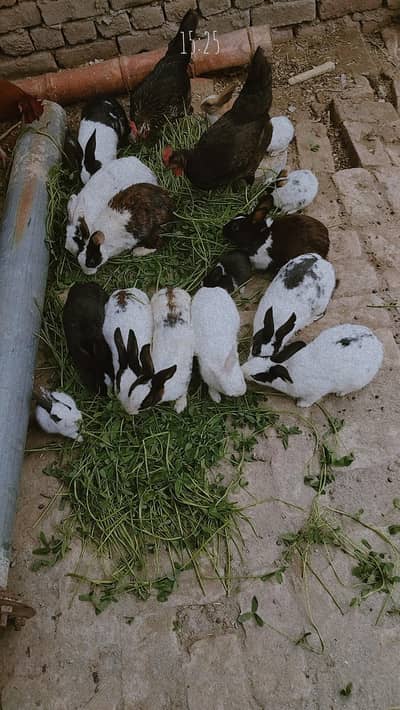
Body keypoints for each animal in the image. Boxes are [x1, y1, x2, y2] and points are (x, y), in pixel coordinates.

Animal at [242, 324, 384, 408]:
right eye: (263, 357)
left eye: (257, 376)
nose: (243, 370)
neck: (288, 368)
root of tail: (376, 342)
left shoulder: (315, 393)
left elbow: (310, 400)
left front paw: (300, 404)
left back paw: (340, 393)